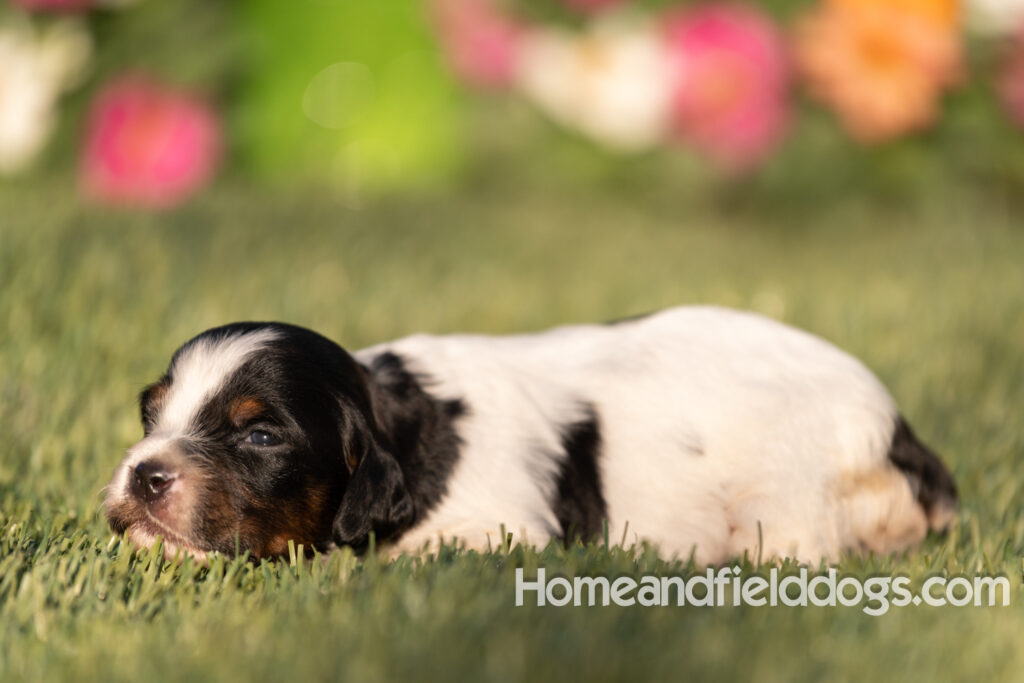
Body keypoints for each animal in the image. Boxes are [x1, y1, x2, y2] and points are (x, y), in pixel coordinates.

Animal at [103, 307, 950, 565]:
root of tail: (899, 432)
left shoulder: (495, 528)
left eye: (261, 438)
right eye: (151, 414)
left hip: (788, 496)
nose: (144, 473)